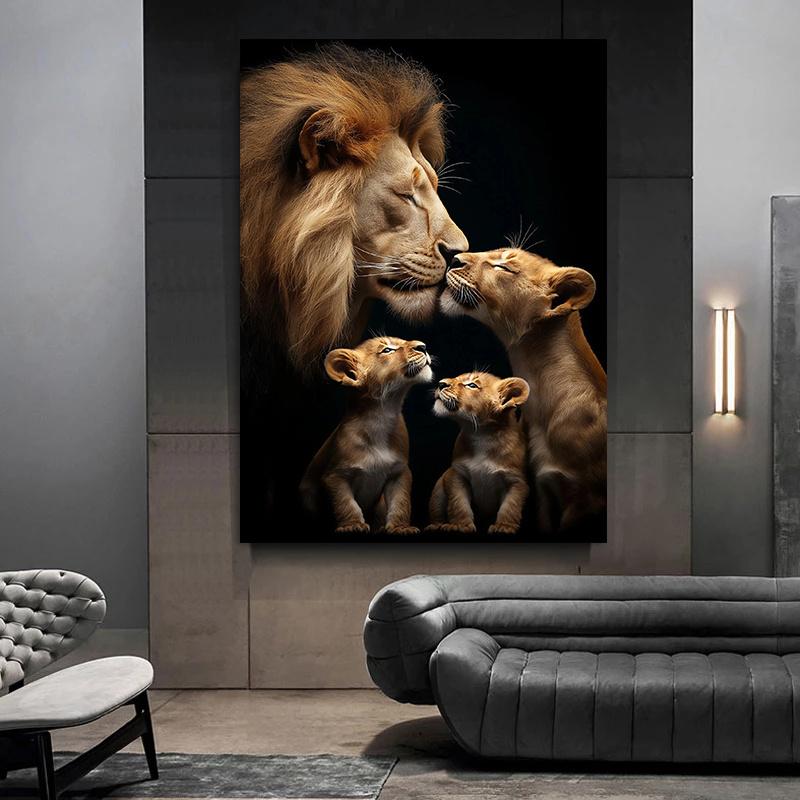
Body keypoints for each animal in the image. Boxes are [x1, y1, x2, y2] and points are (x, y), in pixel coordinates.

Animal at [299, 336, 433, 534]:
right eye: (387, 350)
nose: (422, 346)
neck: (381, 415)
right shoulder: (335, 475)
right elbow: (346, 503)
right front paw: (353, 525)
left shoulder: (399, 472)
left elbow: (400, 502)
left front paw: (400, 527)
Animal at [428, 372, 530, 535]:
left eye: (472, 385)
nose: (441, 383)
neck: (482, 435)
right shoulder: (457, 474)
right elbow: (459, 503)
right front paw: (460, 526)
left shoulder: (516, 481)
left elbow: (510, 507)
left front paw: (504, 527)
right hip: (439, 486)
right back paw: (436, 526)